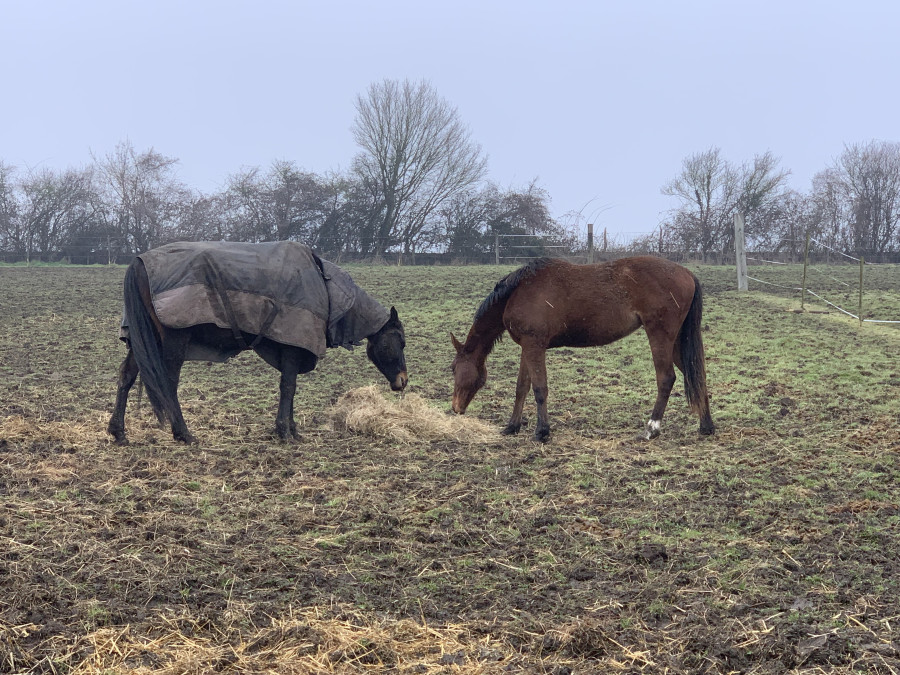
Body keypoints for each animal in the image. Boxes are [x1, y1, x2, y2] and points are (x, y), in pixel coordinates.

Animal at [108, 242, 407, 445]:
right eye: (399, 342)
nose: (403, 380)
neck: (325, 285)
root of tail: (139, 263)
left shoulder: (289, 349)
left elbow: (290, 388)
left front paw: (292, 428)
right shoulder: (294, 347)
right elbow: (288, 387)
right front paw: (285, 431)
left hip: (142, 339)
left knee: (127, 376)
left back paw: (118, 431)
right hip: (173, 340)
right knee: (168, 384)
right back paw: (183, 433)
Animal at [450, 256, 714, 442]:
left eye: (453, 368)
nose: (455, 409)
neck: (519, 292)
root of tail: (687, 273)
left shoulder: (535, 346)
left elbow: (539, 389)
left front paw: (542, 432)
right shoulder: (528, 347)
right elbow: (521, 388)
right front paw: (512, 426)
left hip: (659, 336)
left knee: (666, 378)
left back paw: (651, 429)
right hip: (677, 341)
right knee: (696, 374)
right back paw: (706, 426)